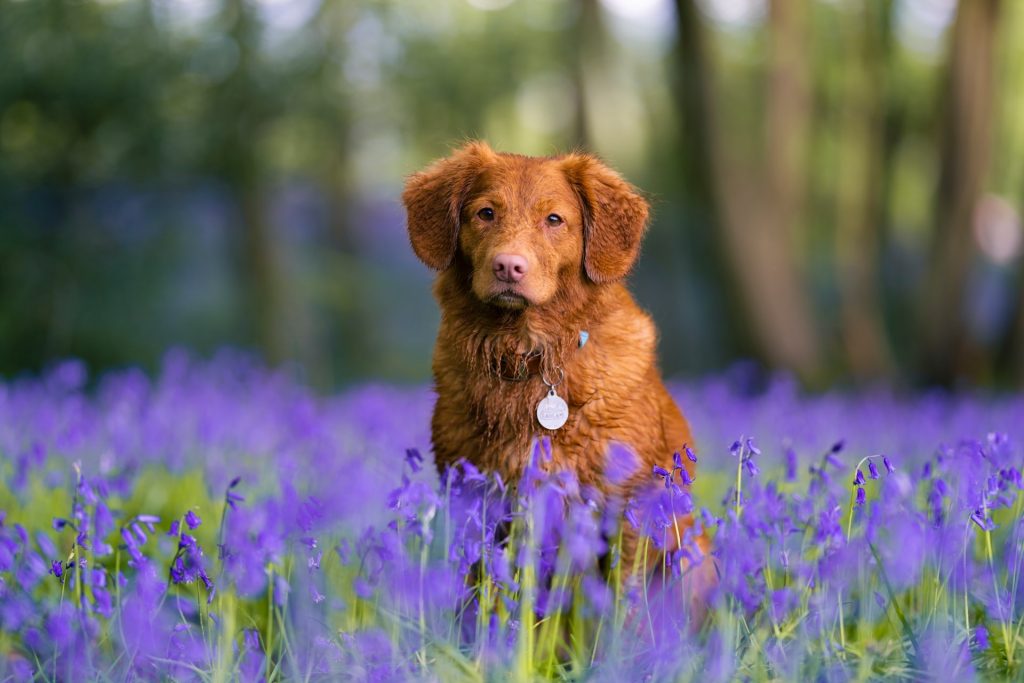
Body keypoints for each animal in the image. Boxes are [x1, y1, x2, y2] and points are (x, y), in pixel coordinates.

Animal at [401, 140, 712, 602]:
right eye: (485, 213)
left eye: (553, 219)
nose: (508, 266)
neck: (528, 353)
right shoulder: (475, 497)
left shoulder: (627, 507)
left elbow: (621, 602)